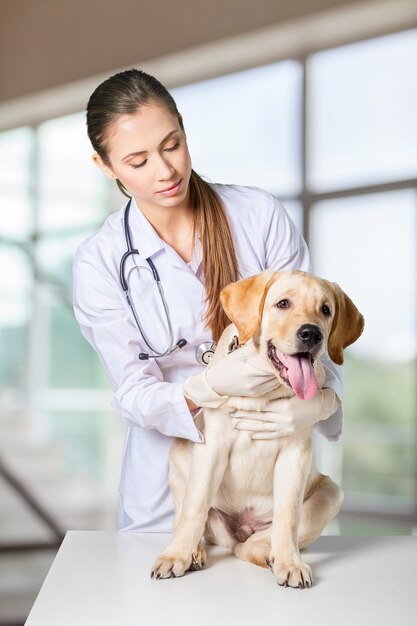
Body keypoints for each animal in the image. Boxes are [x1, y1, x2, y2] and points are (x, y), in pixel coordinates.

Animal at [151, 268, 362, 584]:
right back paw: (195, 552)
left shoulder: (295, 453)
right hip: (179, 462)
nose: (311, 333)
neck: (265, 389)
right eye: (283, 304)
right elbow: (195, 507)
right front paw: (175, 556)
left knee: (250, 545)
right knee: (189, 518)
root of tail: (243, 529)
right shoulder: (212, 446)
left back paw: (270, 556)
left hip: (330, 494)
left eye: (326, 310)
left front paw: (289, 562)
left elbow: (289, 516)